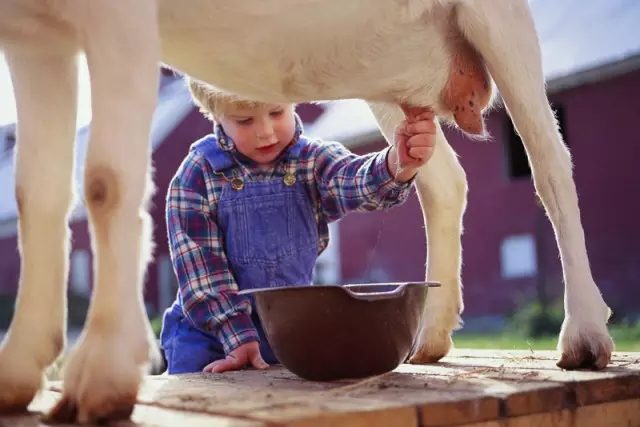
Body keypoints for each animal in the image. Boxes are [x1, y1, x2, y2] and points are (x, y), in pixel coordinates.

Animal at [0, 0, 616, 422]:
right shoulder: (33, 33)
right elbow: (37, 192)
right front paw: (19, 368)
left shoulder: (120, 17)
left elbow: (105, 180)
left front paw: (101, 373)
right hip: (388, 70)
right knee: (444, 181)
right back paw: (432, 335)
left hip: (499, 21)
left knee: (549, 161)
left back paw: (584, 336)